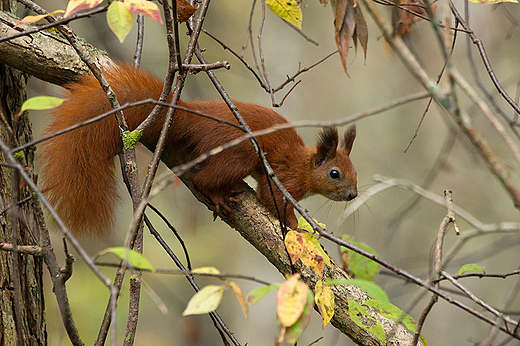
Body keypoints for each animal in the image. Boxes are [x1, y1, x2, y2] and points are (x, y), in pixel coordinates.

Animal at [39, 64, 358, 238]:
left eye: (356, 173)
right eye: (335, 174)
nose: (353, 194)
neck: (305, 167)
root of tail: (194, 118)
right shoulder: (283, 177)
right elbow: (272, 198)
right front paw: (296, 226)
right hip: (239, 155)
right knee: (202, 180)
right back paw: (217, 195)